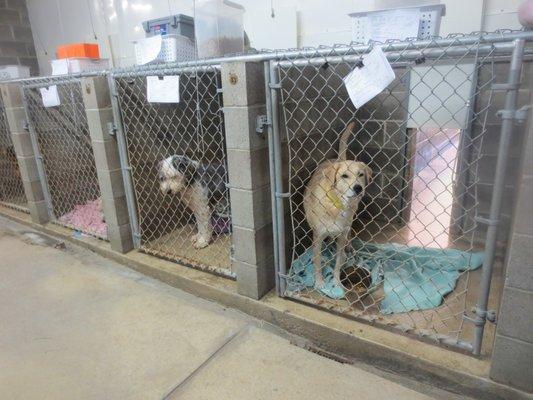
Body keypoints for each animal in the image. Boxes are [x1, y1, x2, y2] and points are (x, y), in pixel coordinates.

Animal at [302, 120, 372, 292]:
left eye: (361, 174)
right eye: (344, 176)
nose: (358, 188)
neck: (338, 204)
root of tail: (337, 160)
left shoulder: (341, 237)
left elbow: (338, 264)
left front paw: (336, 282)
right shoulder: (318, 237)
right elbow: (318, 263)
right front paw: (319, 282)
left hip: (348, 229)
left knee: (348, 239)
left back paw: (349, 250)